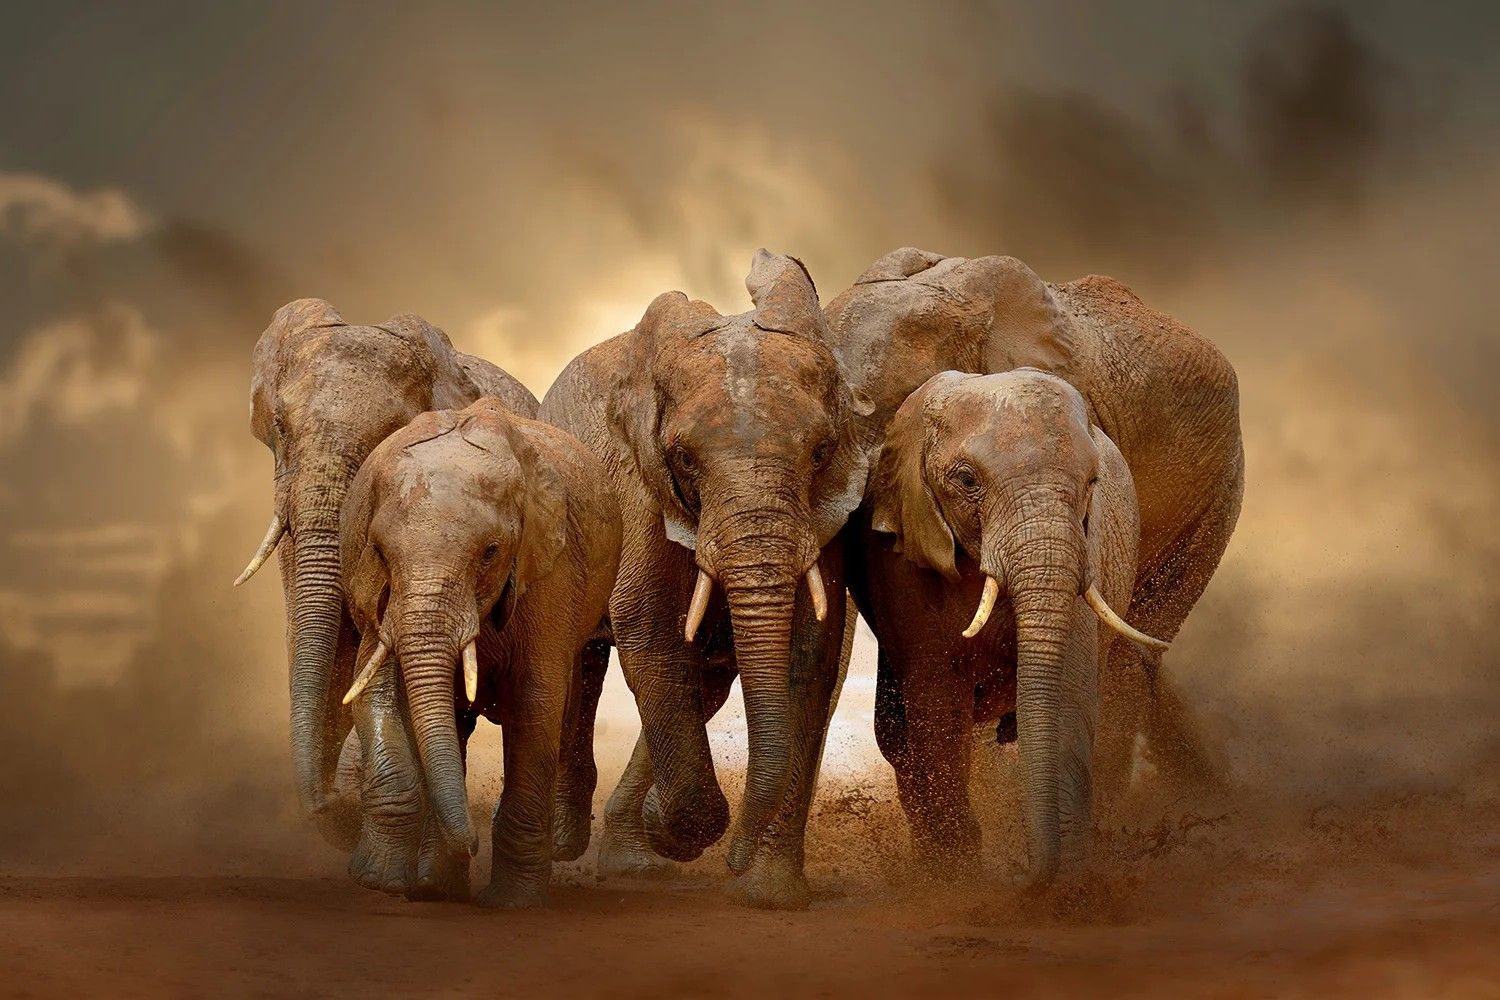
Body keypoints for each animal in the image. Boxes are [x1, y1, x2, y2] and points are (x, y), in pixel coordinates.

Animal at [337, 397, 620, 907]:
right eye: (380, 552)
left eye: (490, 552)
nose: (470, 842)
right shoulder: (375, 593)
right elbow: (375, 690)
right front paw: (380, 880)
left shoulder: (549, 571)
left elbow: (536, 701)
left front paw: (513, 902)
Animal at [540, 250, 866, 909]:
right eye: (684, 458)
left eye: (821, 452)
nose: (736, 864)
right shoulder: (638, 486)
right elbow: (645, 625)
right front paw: (676, 826)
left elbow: (811, 650)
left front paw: (767, 891)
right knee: (580, 661)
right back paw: (565, 842)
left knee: (704, 683)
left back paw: (634, 859)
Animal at [852, 368, 1170, 883]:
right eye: (966, 480)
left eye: (1092, 481)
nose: (1025, 876)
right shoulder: (903, 559)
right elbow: (936, 706)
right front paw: (957, 874)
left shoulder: (1087, 551)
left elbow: (1068, 695)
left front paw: (1072, 881)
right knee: (898, 736)